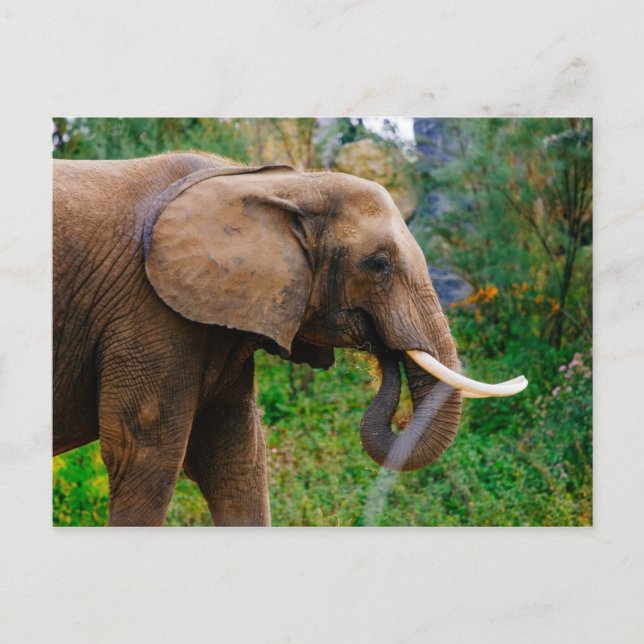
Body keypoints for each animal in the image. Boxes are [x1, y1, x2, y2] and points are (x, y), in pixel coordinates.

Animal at [53, 152, 526, 526]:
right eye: (377, 264)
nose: (383, 350)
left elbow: (234, 454)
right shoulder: (148, 312)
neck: (281, 183)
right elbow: (144, 453)